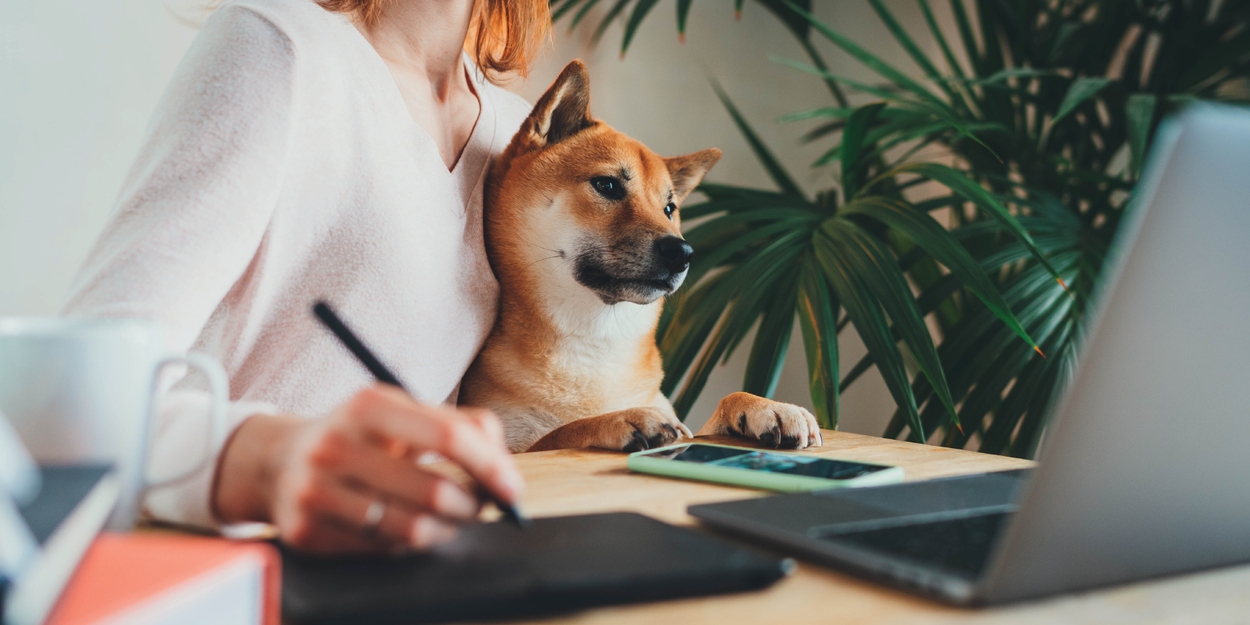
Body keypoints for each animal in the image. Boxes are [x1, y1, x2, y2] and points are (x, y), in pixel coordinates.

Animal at [465, 60, 825, 455]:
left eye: (669, 208)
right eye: (607, 185)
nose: (684, 252)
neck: (596, 344)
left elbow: (718, 409)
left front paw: (766, 407)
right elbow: (560, 433)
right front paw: (618, 419)